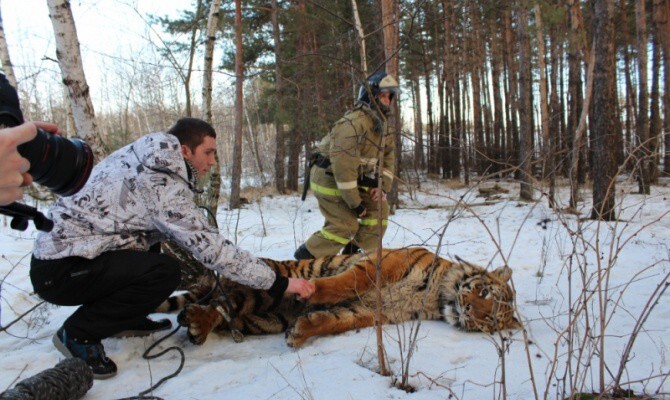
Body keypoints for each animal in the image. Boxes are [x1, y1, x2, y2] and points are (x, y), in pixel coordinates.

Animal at [159, 247, 524, 346]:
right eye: (483, 291)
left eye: (490, 319)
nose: (469, 312)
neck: (435, 296)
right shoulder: (382, 264)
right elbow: (345, 281)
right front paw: (311, 291)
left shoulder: (375, 312)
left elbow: (335, 321)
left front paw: (301, 332)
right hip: (259, 282)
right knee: (217, 301)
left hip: (263, 314)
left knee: (222, 311)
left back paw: (196, 324)